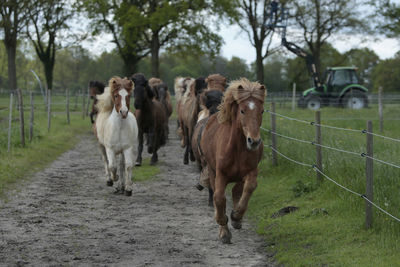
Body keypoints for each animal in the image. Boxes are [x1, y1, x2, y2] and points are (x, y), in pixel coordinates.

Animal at [199, 78, 266, 245]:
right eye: (242, 110)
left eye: (261, 111)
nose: (254, 141)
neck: (237, 149)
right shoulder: (220, 174)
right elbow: (219, 198)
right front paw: (224, 230)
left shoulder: (251, 171)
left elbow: (248, 188)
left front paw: (236, 216)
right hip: (212, 171)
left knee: (237, 190)